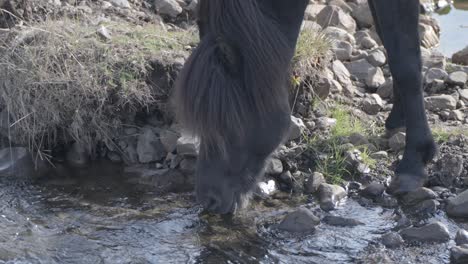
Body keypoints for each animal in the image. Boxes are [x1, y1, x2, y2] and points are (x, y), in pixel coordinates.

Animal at [173, 0, 438, 213]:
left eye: (227, 126)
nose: (209, 201)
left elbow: (405, 61)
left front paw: (414, 162)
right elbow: (388, 41)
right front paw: (398, 118)